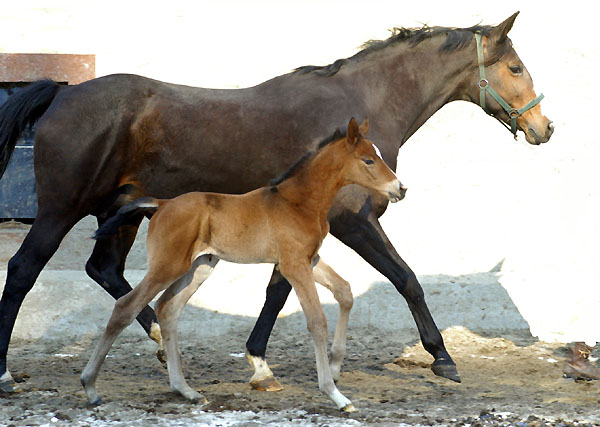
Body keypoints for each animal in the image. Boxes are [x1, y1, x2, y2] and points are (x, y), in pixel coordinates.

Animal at [79, 118, 406, 412]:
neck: (299, 203)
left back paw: (185, 390)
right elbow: (316, 321)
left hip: (200, 266)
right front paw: (335, 395)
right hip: (167, 265)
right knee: (126, 306)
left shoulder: (309, 259)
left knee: (168, 308)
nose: (400, 188)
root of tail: (162, 203)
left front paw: (337, 366)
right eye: (368, 160)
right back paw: (90, 386)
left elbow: (345, 292)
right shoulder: (294, 265)